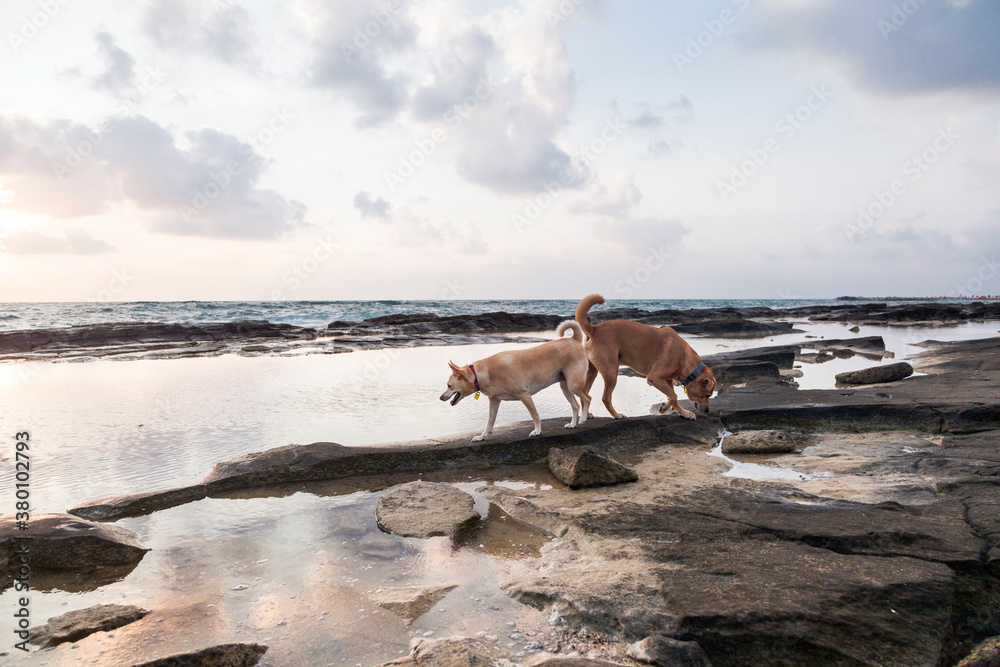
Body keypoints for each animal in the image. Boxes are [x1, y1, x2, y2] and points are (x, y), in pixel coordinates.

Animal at [440, 321, 592, 442]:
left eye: (449, 386)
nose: (441, 397)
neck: (483, 372)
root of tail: (574, 339)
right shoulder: (494, 401)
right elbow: (489, 422)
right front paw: (481, 437)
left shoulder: (524, 395)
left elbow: (535, 415)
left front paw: (537, 431)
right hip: (565, 387)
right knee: (576, 406)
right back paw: (573, 424)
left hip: (574, 385)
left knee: (587, 398)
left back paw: (584, 418)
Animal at [575, 294, 716, 420]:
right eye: (708, 395)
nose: (707, 411)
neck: (685, 359)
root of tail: (594, 329)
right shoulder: (654, 378)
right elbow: (674, 396)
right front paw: (664, 408)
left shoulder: (667, 380)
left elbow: (672, 397)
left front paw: (683, 412)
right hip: (611, 372)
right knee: (605, 398)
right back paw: (616, 415)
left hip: (592, 371)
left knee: (585, 395)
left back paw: (588, 414)